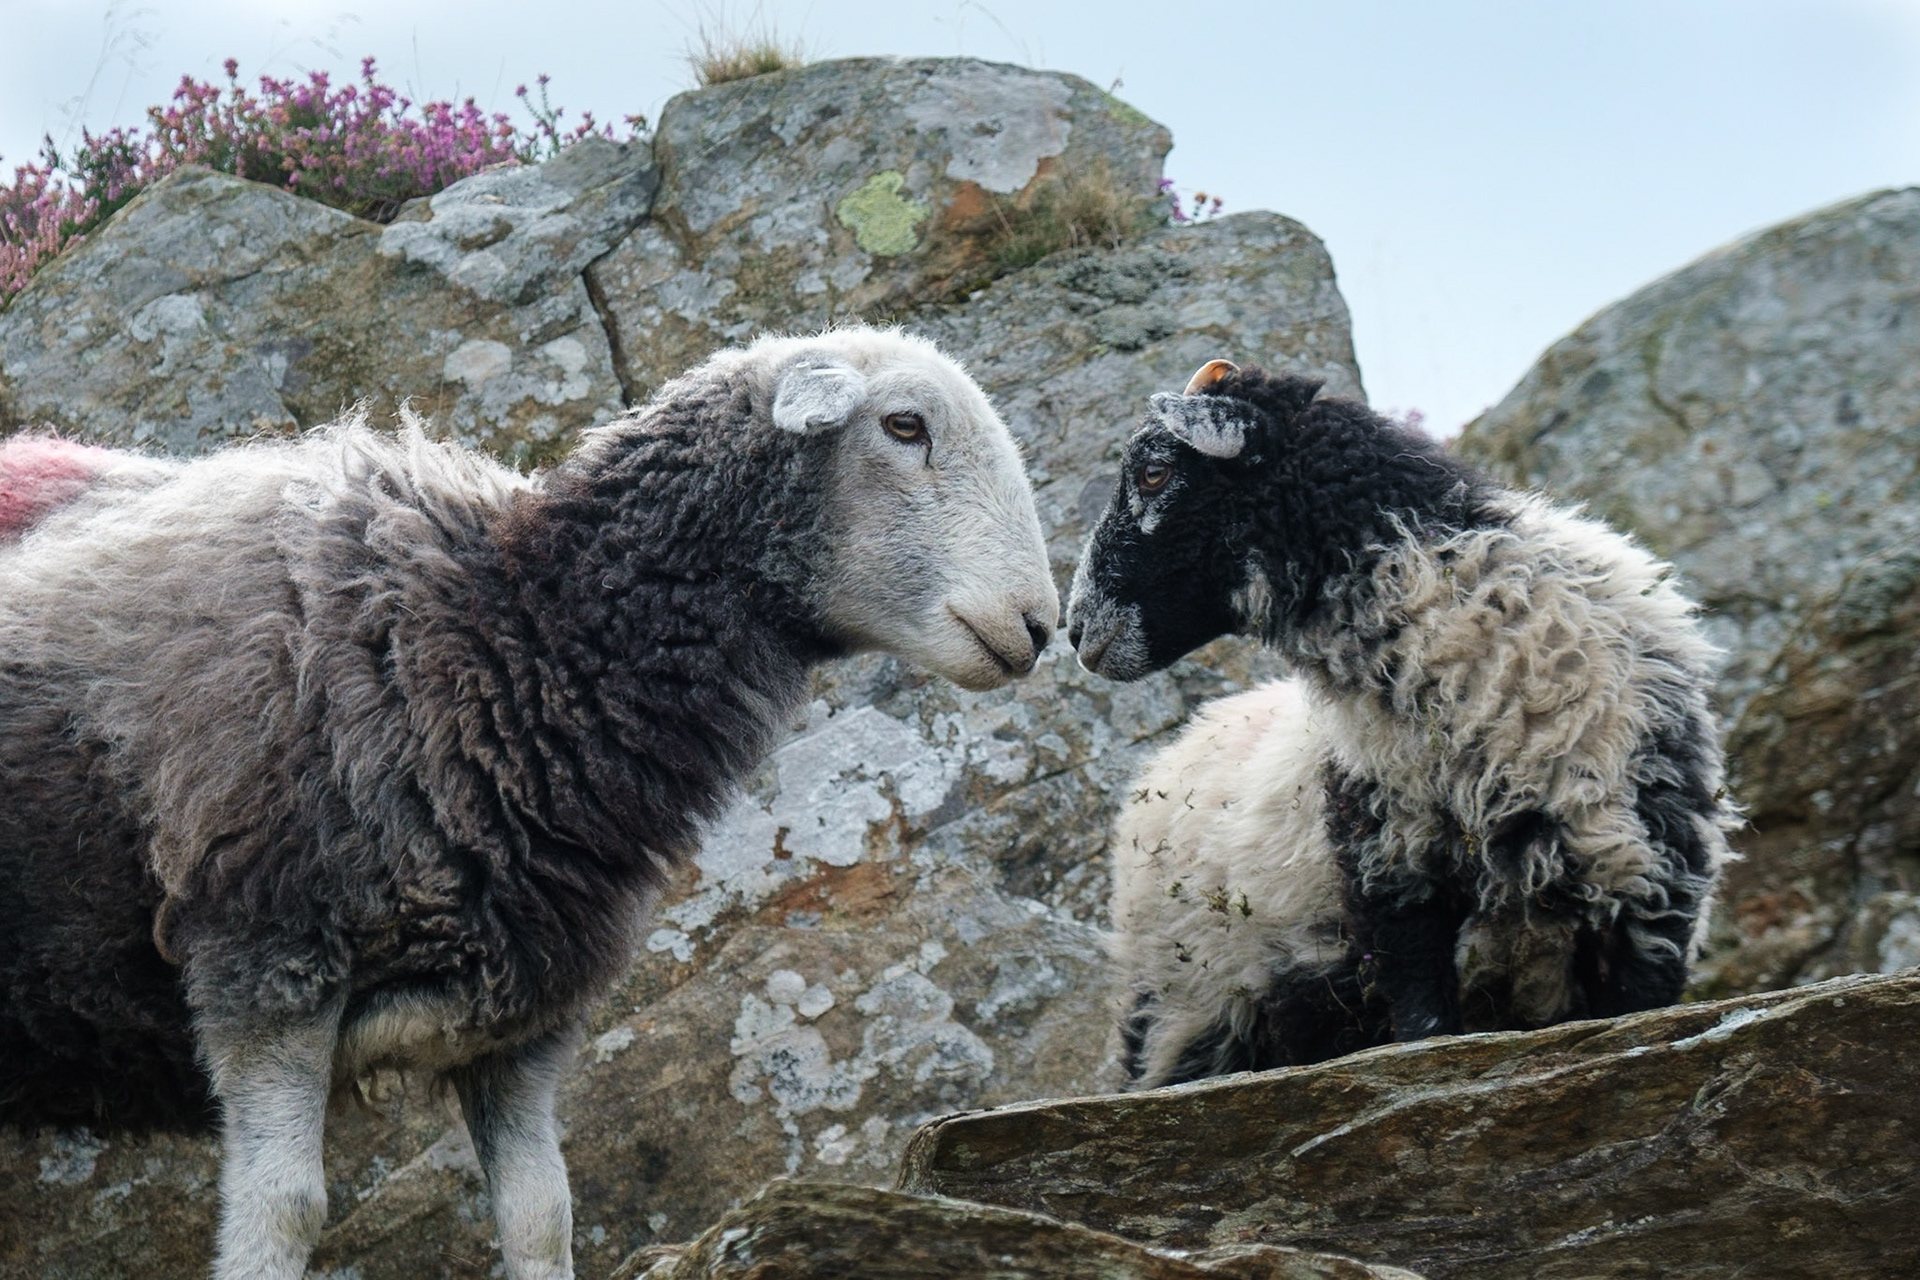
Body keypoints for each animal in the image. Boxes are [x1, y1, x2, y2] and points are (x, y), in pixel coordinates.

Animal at [0, 325, 1058, 1280]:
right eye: (906, 425)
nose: (1043, 625)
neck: (502, 637)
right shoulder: (268, 957)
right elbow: (285, 1210)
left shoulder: (519, 1011)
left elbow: (544, 1215)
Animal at [1068, 359, 1736, 1088]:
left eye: (1153, 472)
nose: (1074, 629)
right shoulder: (1390, 878)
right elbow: (1424, 1030)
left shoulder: (1654, 890)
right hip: (1183, 1006)